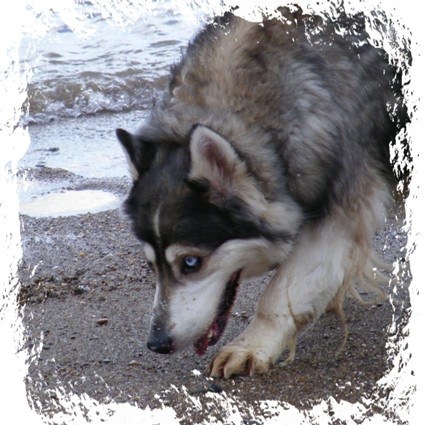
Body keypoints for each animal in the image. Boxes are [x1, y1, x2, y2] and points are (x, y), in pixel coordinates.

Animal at [115, 7, 404, 378]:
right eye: (151, 265)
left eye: (191, 262)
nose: (158, 344)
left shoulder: (343, 206)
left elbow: (280, 291)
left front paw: (252, 345)